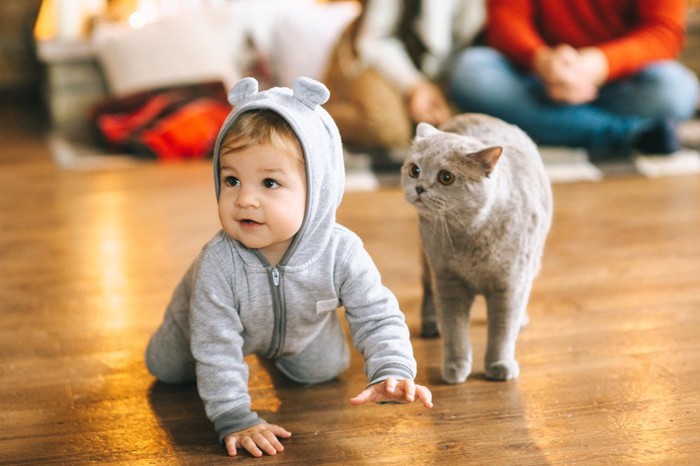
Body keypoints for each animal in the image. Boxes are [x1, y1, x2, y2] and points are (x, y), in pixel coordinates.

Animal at [404, 113, 552, 382]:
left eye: (446, 177)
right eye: (414, 170)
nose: (419, 187)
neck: (468, 235)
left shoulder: (510, 284)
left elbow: (502, 331)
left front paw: (500, 365)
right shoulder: (448, 280)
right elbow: (455, 331)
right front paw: (455, 368)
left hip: (532, 263)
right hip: (427, 259)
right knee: (428, 289)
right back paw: (431, 324)